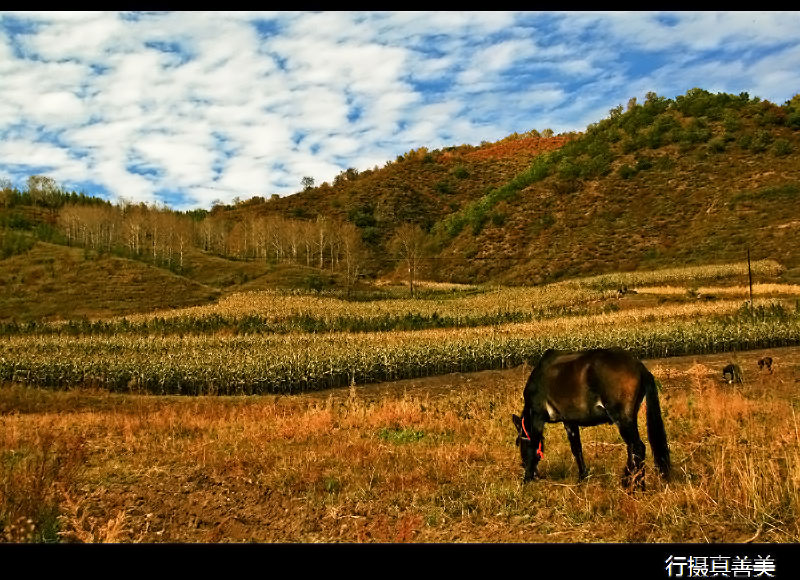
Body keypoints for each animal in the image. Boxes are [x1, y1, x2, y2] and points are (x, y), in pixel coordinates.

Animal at [512, 348, 668, 490]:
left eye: (519, 442)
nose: (523, 465)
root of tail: (639, 366)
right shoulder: (569, 421)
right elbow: (576, 449)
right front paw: (582, 477)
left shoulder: (537, 417)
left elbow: (534, 446)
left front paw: (526, 479)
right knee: (632, 448)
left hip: (622, 418)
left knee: (638, 447)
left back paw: (635, 485)